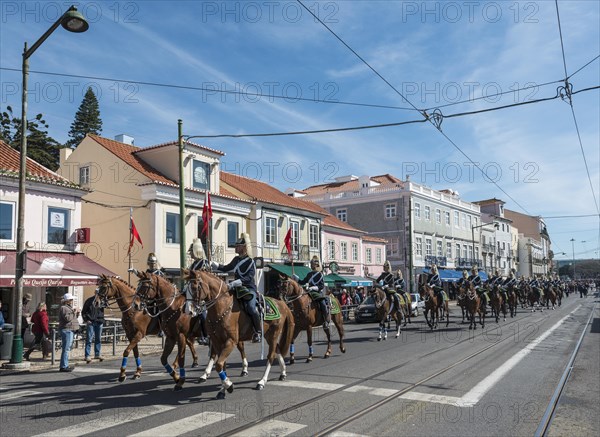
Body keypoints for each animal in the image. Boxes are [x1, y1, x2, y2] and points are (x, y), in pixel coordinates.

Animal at [185, 268, 292, 396]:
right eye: (185, 289)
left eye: (195, 287)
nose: (190, 311)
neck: (222, 307)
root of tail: (282, 304)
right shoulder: (217, 341)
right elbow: (222, 365)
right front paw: (223, 389)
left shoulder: (230, 341)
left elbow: (219, 364)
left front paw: (229, 385)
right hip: (268, 335)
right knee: (278, 349)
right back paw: (283, 373)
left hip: (274, 334)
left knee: (271, 356)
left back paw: (262, 382)